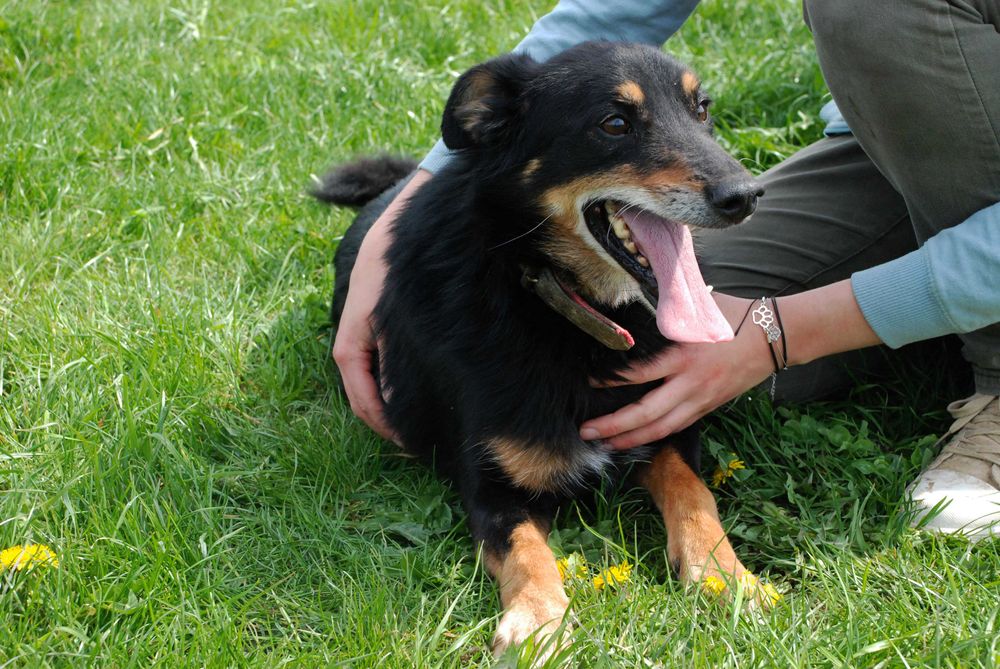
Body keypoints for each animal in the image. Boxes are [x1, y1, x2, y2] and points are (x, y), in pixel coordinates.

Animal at [318, 43, 764, 656]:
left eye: (702, 110)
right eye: (614, 124)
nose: (746, 196)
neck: (558, 300)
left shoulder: (666, 426)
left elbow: (694, 493)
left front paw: (726, 574)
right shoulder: (492, 485)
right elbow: (526, 550)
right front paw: (537, 620)